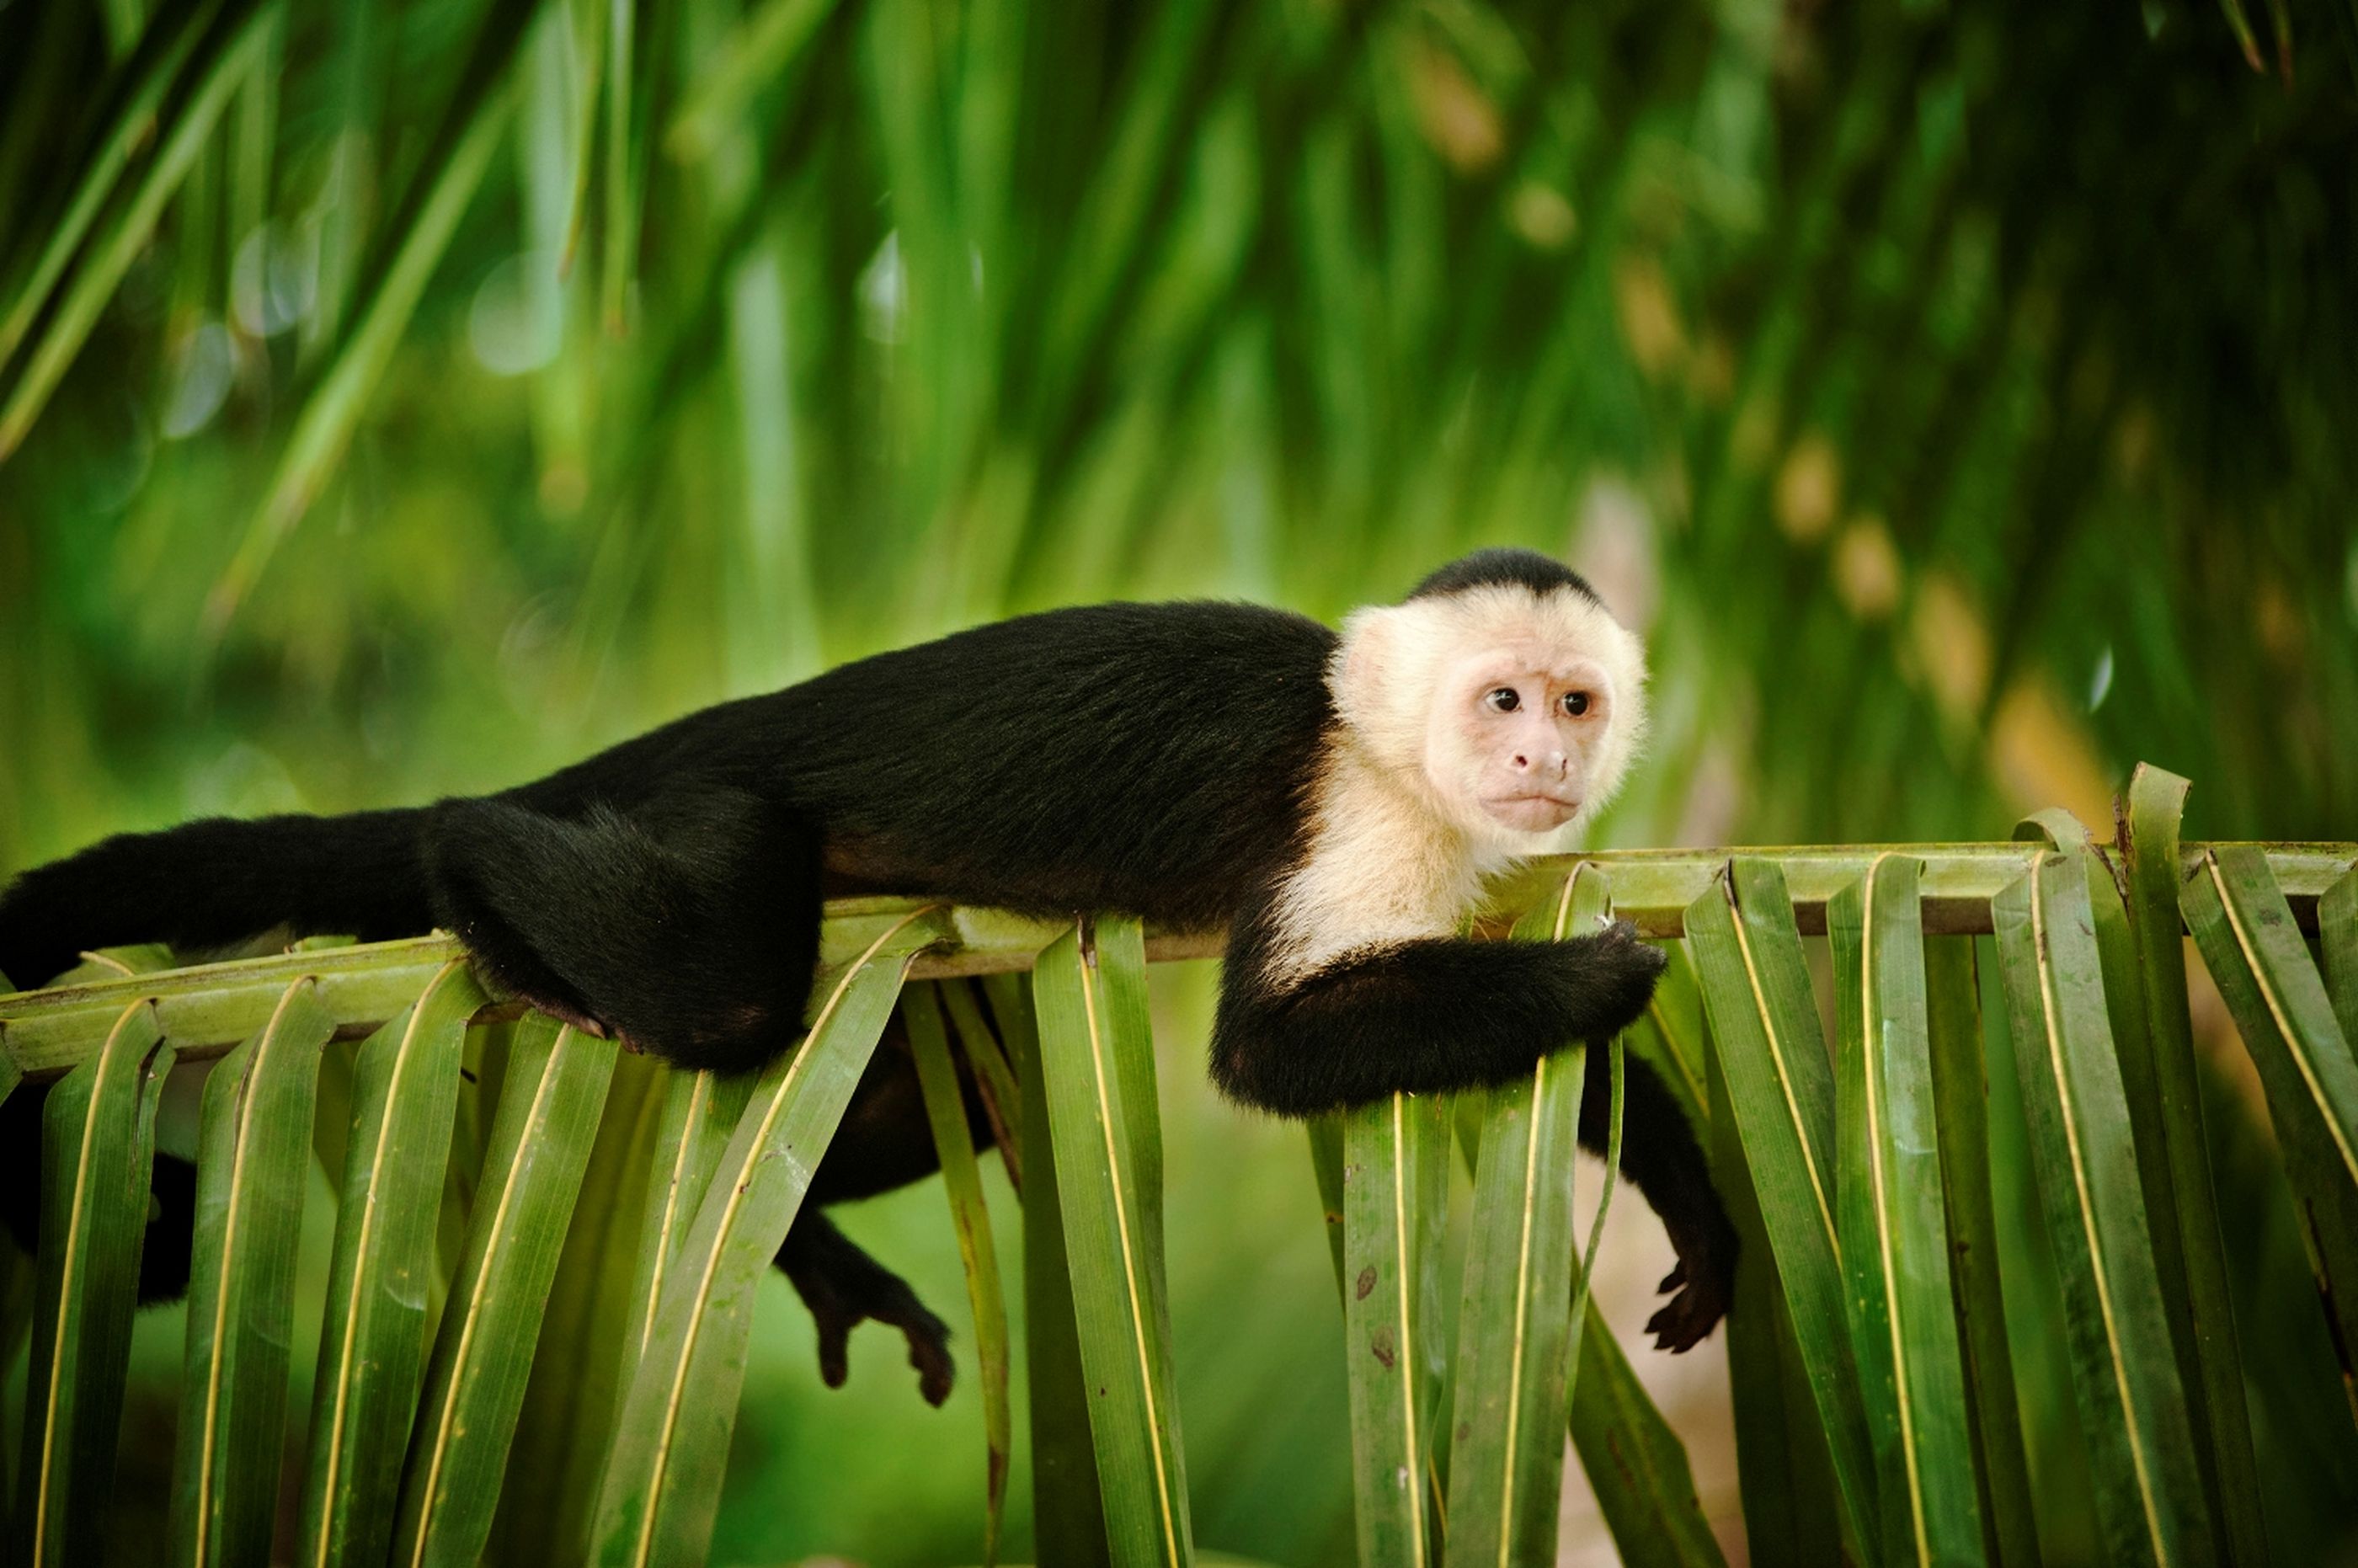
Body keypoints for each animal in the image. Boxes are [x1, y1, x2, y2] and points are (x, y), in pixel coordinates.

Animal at [0, 547, 1735, 1395]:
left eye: (1576, 702)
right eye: (1501, 696)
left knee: (910, 1093)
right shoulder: (1360, 811)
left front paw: (1698, 1203)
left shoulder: (1478, 854)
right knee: (720, 987)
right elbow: (1273, 1046)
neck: (1378, 743)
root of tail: (707, 731)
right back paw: (465, 861)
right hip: (715, 813)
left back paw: (812, 1245)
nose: (1539, 755)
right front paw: (1603, 987)